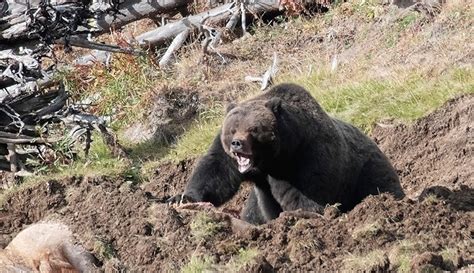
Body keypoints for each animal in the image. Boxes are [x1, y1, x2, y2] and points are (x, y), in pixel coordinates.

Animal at [169, 83, 404, 223]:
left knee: (379, 186)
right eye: (233, 129)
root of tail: (373, 141)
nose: (237, 144)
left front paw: (303, 214)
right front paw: (181, 198)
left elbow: (307, 192)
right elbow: (215, 171)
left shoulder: (308, 154)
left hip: (366, 171)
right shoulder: (232, 159)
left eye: (254, 129)